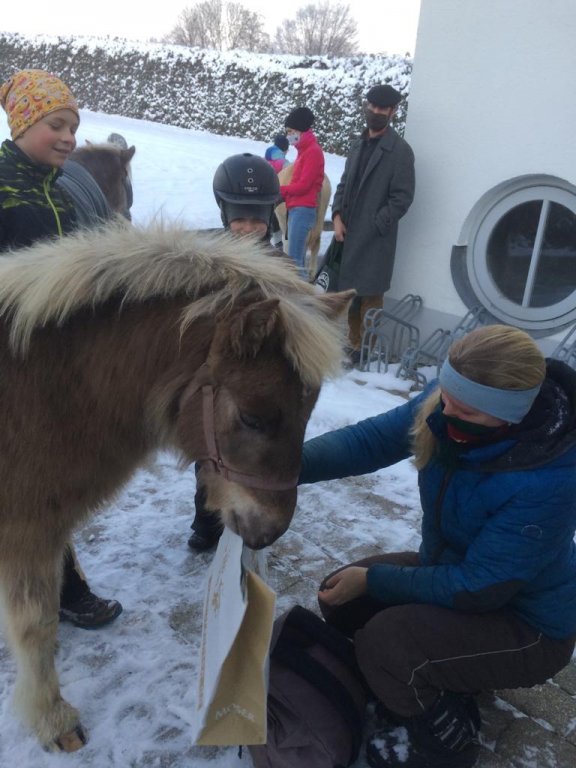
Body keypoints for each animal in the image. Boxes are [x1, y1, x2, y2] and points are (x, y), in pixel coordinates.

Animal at [0, 220, 354, 752]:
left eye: (309, 412)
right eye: (253, 418)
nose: (269, 533)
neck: (44, 389)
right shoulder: (28, 531)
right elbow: (36, 625)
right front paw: (52, 717)